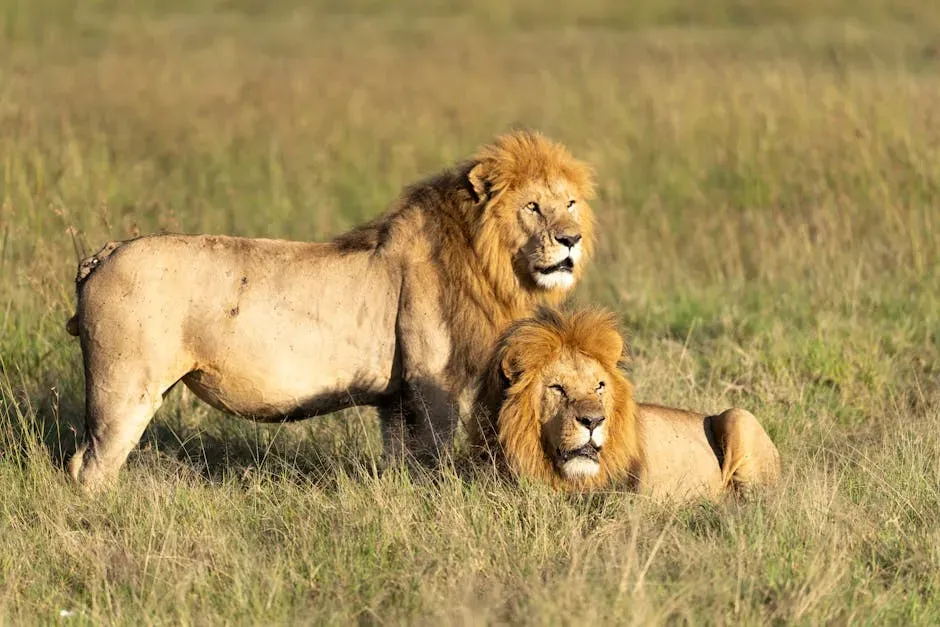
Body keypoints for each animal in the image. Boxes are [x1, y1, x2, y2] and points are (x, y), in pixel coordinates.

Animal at [65, 130, 596, 489]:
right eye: (532, 206)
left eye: (570, 203)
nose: (571, 239)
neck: (486, 259)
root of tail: (103, 254)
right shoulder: (433, 384)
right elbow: (435, 460)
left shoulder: (397, 398)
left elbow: (402, 461)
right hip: (124, 388)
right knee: (87, 466)